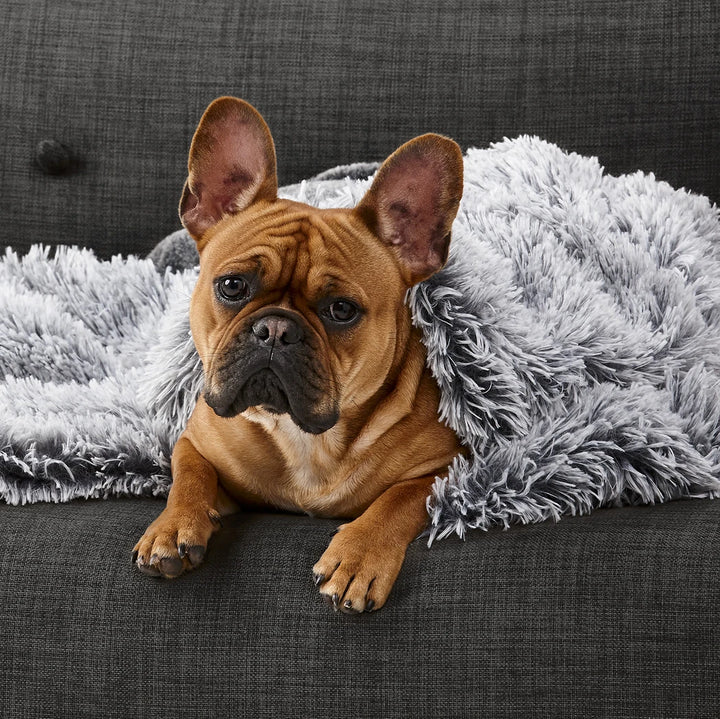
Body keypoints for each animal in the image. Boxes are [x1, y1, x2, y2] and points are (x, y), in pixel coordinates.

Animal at [132, 95, 464, 612]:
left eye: (342, 310)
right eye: (232, 286)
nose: (275, 330)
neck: (306, 439)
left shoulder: (451, 468)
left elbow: (400, 499)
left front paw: (359, 556)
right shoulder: (196, 441)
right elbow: (188, 475)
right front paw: (171, 528)